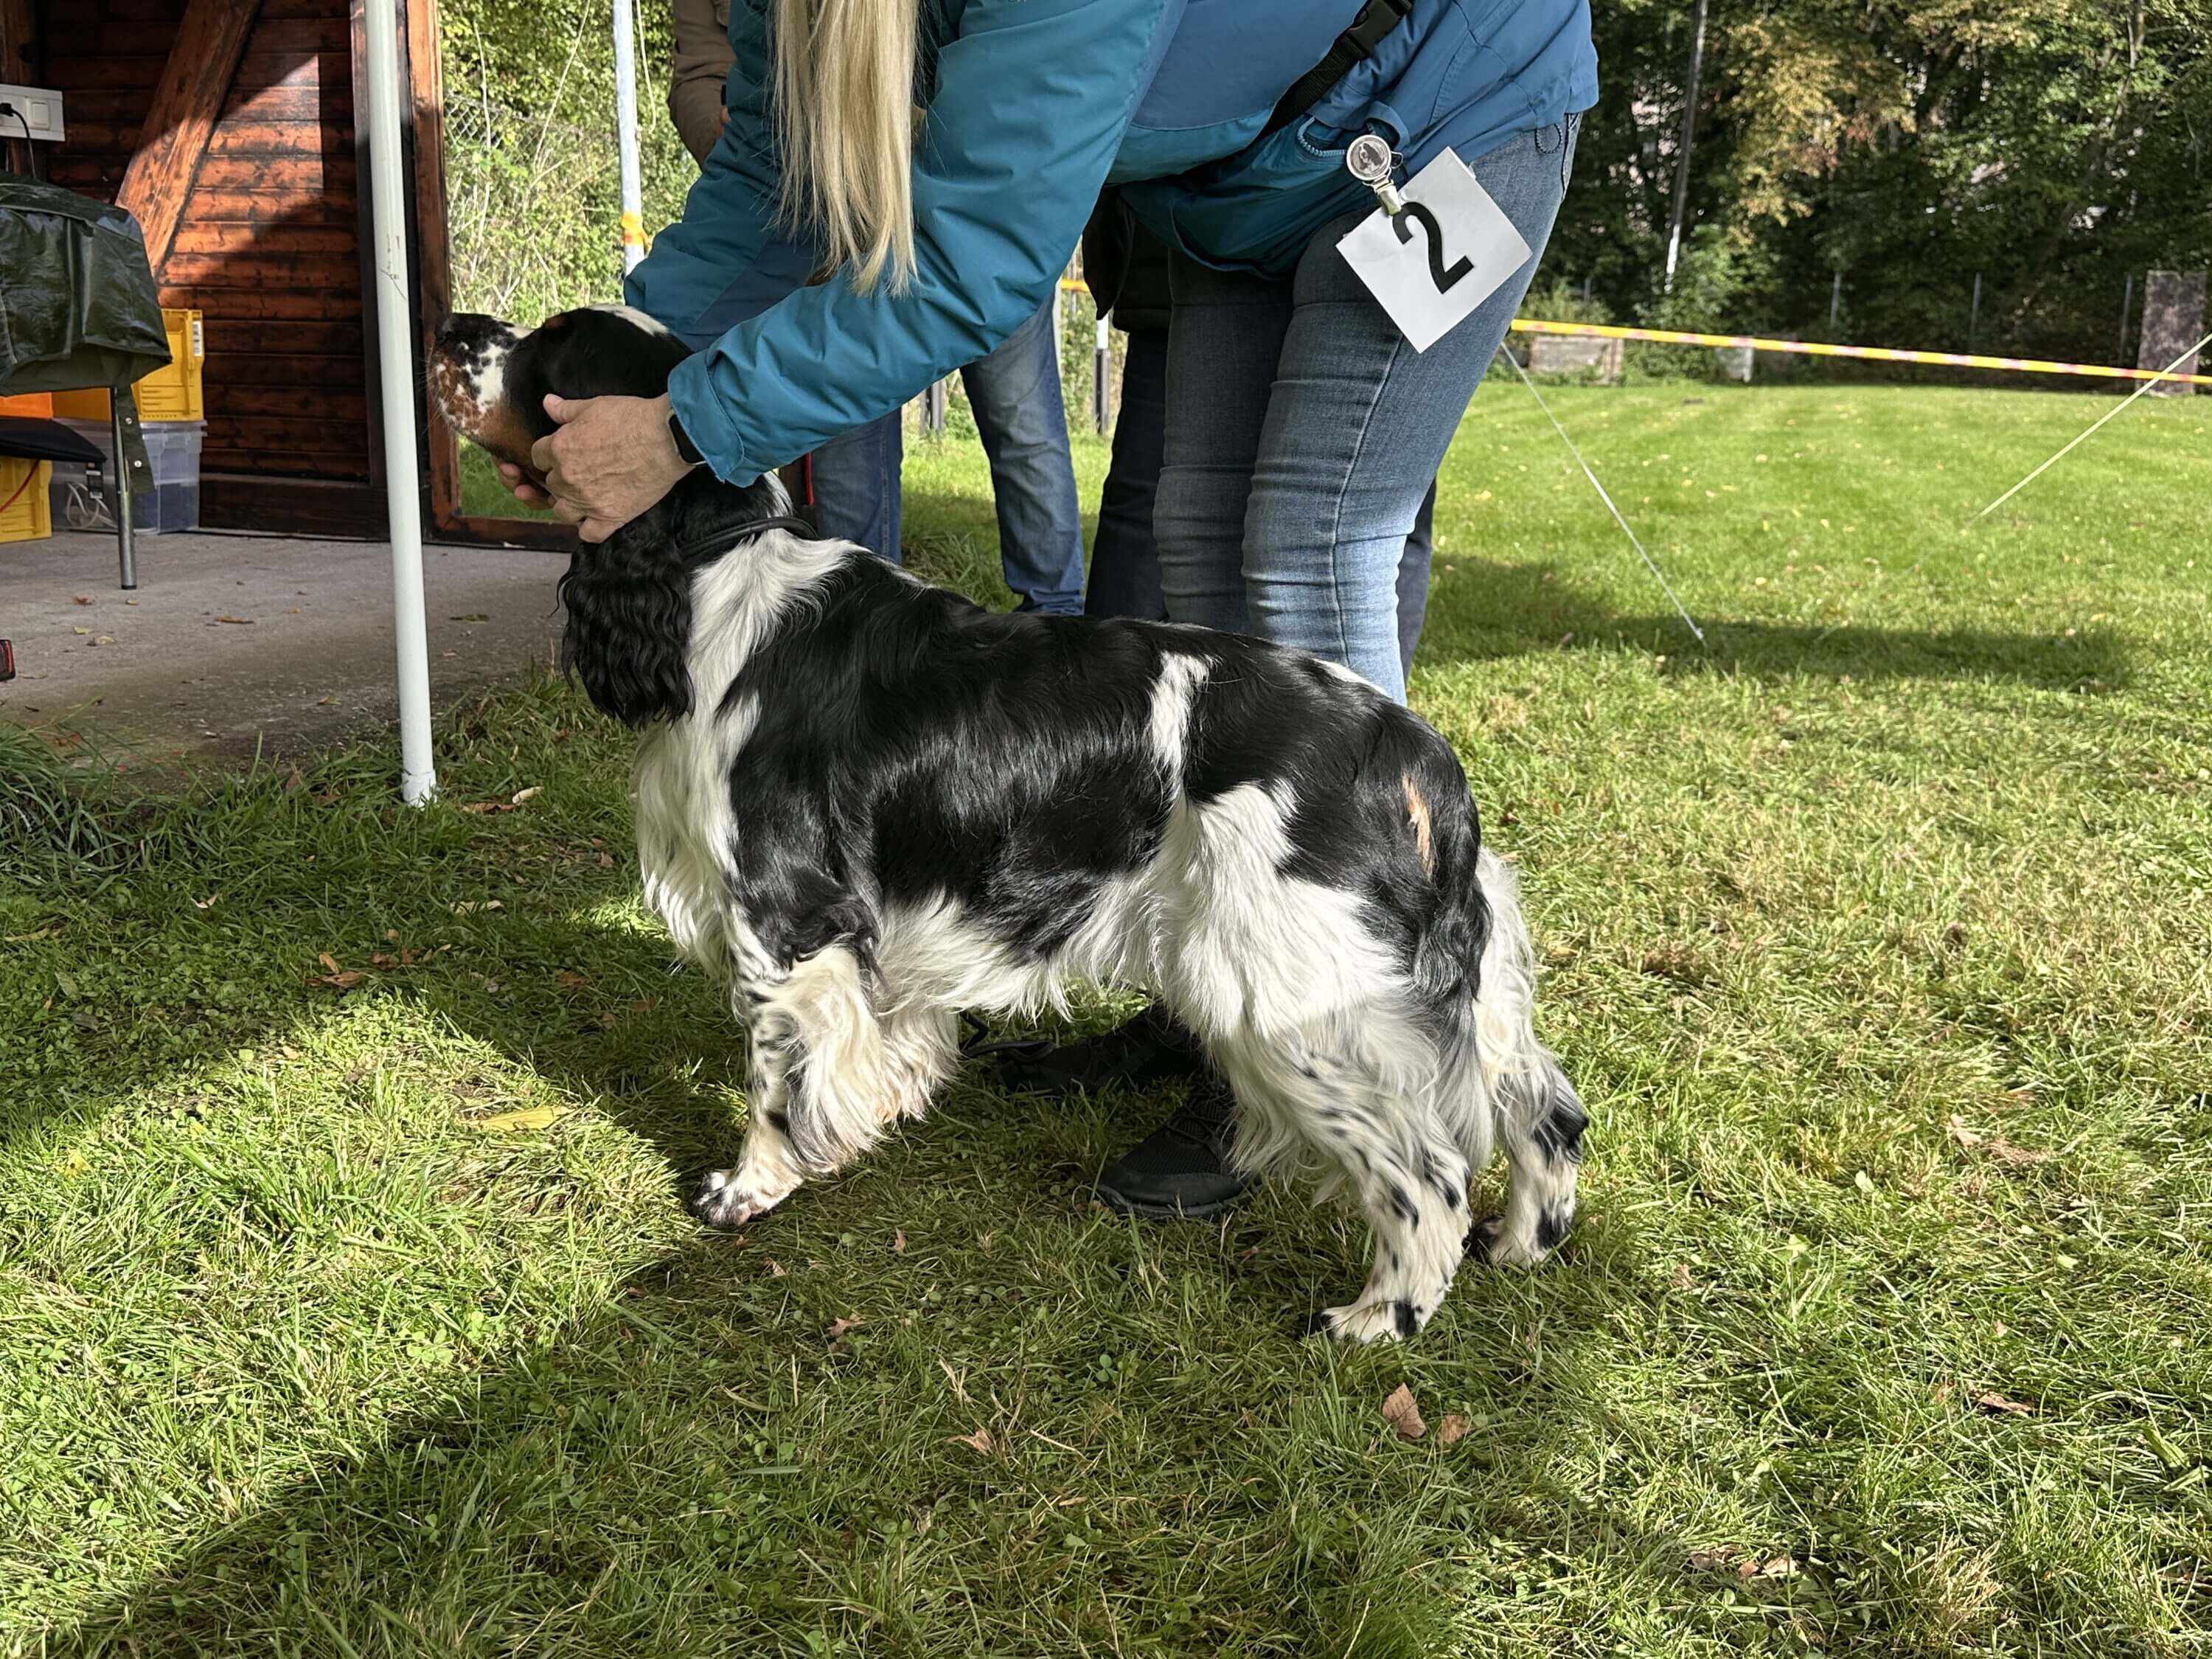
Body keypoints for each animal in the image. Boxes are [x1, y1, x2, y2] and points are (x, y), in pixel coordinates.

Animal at [427, 304, 1587, 1342]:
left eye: (552, 350)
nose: (447, 327)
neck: (707, 572)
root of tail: (1418, 757)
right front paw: (875, 1119)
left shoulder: (786, 916)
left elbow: (773, 1079)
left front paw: (749, 1188)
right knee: (1543, 1106)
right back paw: (1522, 1246)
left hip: (1297, 999)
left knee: (1430, 1174)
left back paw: (1374, 1320)